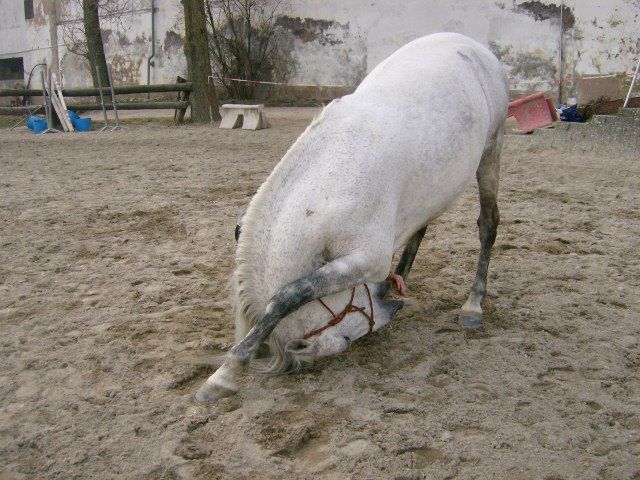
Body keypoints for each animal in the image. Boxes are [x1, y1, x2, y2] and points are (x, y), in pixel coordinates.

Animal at [196, 32, 508, 404]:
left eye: (346, 339)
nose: (387, 301)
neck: (327, 185)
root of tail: (473, 45)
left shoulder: (366, 259)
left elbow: (288, 296)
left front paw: (226, 372)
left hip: (491, 150)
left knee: (487, 225)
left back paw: (473, 303)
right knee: (421, 224)